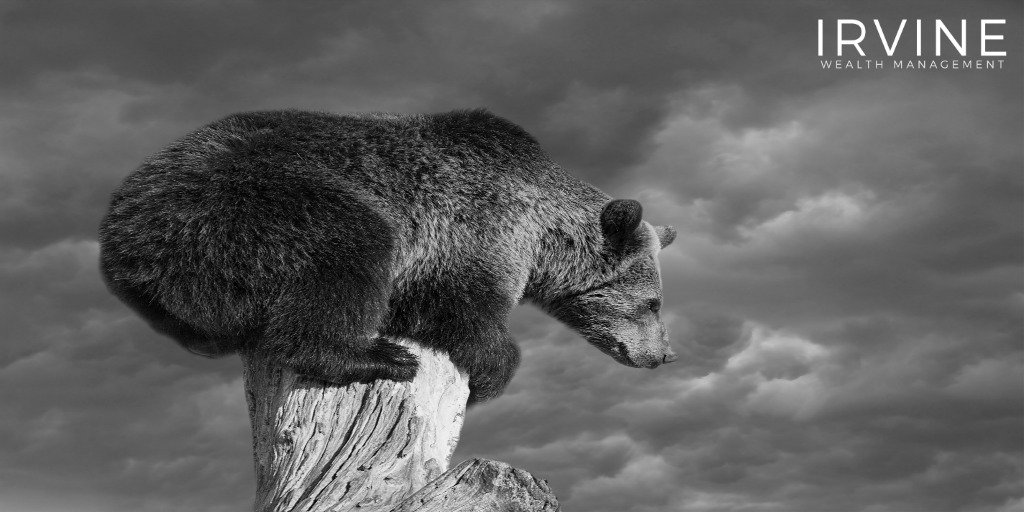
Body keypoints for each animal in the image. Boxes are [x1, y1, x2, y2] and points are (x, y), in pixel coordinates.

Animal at [98, 109, 678, 404]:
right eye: (652, 303)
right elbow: (464, 308)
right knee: (347, 250)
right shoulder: (470, 228)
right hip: (249, 204)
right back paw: (376, 355)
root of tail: (120, 244)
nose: (664, 354)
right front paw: (493, 368)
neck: (543, 239)